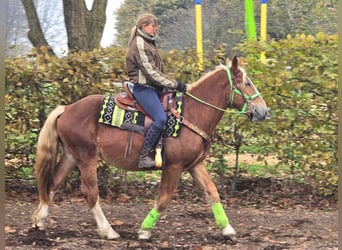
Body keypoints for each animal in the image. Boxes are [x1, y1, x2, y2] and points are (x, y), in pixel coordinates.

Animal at [31, 55, 268, 241]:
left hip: (71, 156)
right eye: (247, 83)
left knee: (52, 183)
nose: (263, 111)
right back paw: (108, 231)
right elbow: (163, 199)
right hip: (86, 158)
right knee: (91, 193)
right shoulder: (173, 166)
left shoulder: (195, 165)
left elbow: (212, 192)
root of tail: (67, 108)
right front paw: (144, 230)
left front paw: (228, 229)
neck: (192, 113)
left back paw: (40, 222)